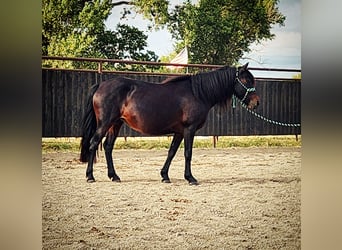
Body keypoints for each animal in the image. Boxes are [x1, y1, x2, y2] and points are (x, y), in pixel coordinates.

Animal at [80, 63, 260, 185]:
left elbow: (172, 152)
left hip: (116, 124)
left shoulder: (179, 132)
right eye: (246, 80)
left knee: (108, 146)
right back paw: (90, 176)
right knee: (94, 143)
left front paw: (164, 175)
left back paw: (114, 176)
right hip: (105, 123)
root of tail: (101, 85)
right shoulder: (189, 130)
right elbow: (188, 153)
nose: (256, 103)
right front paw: (190, 178)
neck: (198, 93)